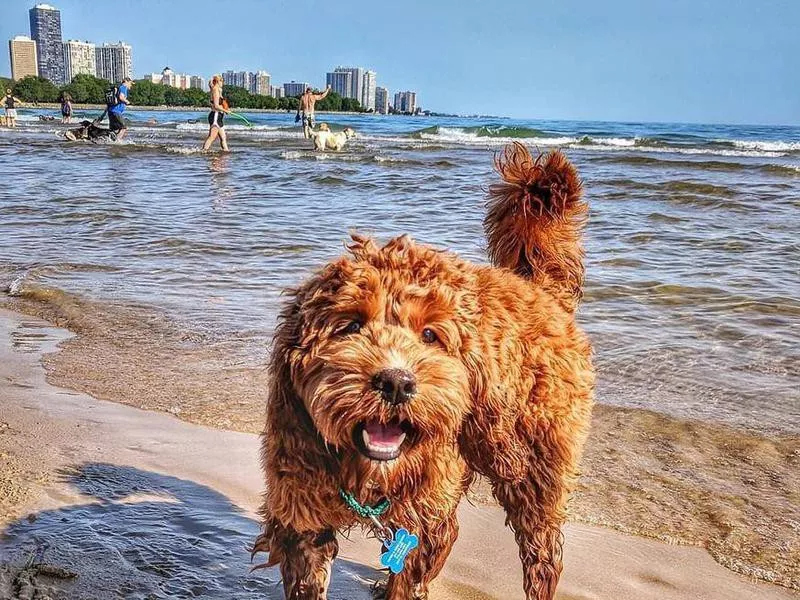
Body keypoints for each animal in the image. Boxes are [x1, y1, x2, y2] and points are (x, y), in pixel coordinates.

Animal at [253, 143, 596, 596]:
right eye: (350, 325)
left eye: (431, 334)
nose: (397, 382)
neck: (370, 475)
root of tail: (541, 290)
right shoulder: (301, 504)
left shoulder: (420, 518)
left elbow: (413, 567)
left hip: (532, 465)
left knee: (542, 553)